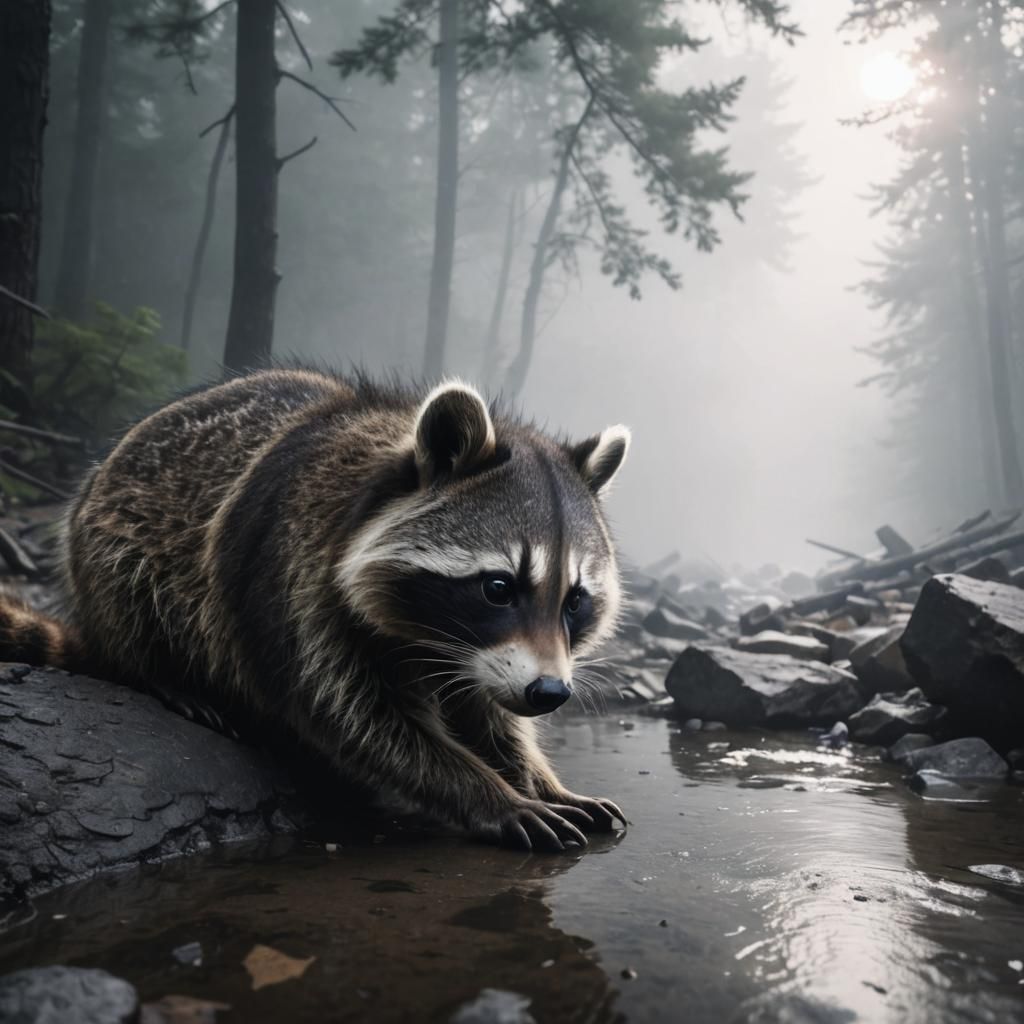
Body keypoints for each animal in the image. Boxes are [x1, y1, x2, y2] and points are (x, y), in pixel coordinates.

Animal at [0, 369, 631, 851]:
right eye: (498, 588)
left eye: (574, 600)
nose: (549, 693)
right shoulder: (293, 578)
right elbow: (355, 717)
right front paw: (486, 792)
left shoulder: (482, 658)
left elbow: (485, 714)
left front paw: (537, 780)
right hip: (108, 538)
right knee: (128, 594)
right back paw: (160, 671)